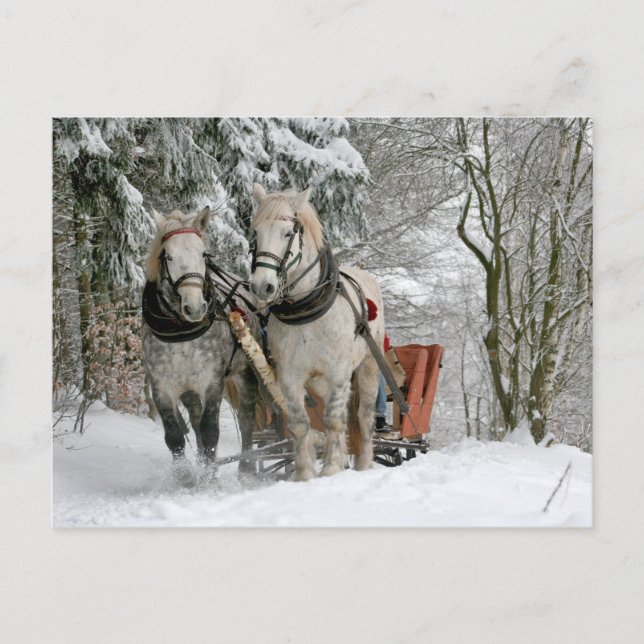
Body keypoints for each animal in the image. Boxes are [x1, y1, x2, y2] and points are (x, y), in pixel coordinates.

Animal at [141, 206, 258, 481]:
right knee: (194, 422)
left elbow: (210, 430)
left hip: (245, 373)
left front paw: (208, 479)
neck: (181, 331)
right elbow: (175, 435)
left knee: (246, 417)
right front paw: (186, 477)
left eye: (203, 253)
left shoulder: (212, 381)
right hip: (190, 390)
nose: (194, 308)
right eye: (168, 256)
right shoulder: (162, 386)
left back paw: (246, 468)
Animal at [249, 184, 384, 481]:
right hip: (320, 381)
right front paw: (304, 474)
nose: (262, 286)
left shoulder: (339, 372)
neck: (306, 308)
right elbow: (300, 423)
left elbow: (334, 420)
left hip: (368, 366)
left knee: (363, 415)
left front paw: (331, 468)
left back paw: (363, 463)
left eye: (288, 233)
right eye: (255, 233)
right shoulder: (289, 376)